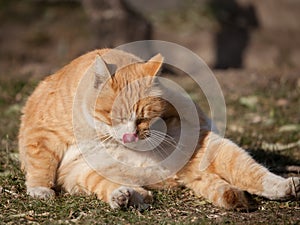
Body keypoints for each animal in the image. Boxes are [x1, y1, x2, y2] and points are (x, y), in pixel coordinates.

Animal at [19, 48, 300, 210]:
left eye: (144, 117)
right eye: (115, 116)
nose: (130, 135)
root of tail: (177, 175)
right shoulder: (42, 134)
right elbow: (41, 163)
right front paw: (40, 189)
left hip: (212, 148)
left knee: (249, 171)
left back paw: (284, 186)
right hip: (83, 173)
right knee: (113, 188)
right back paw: (127, 196)